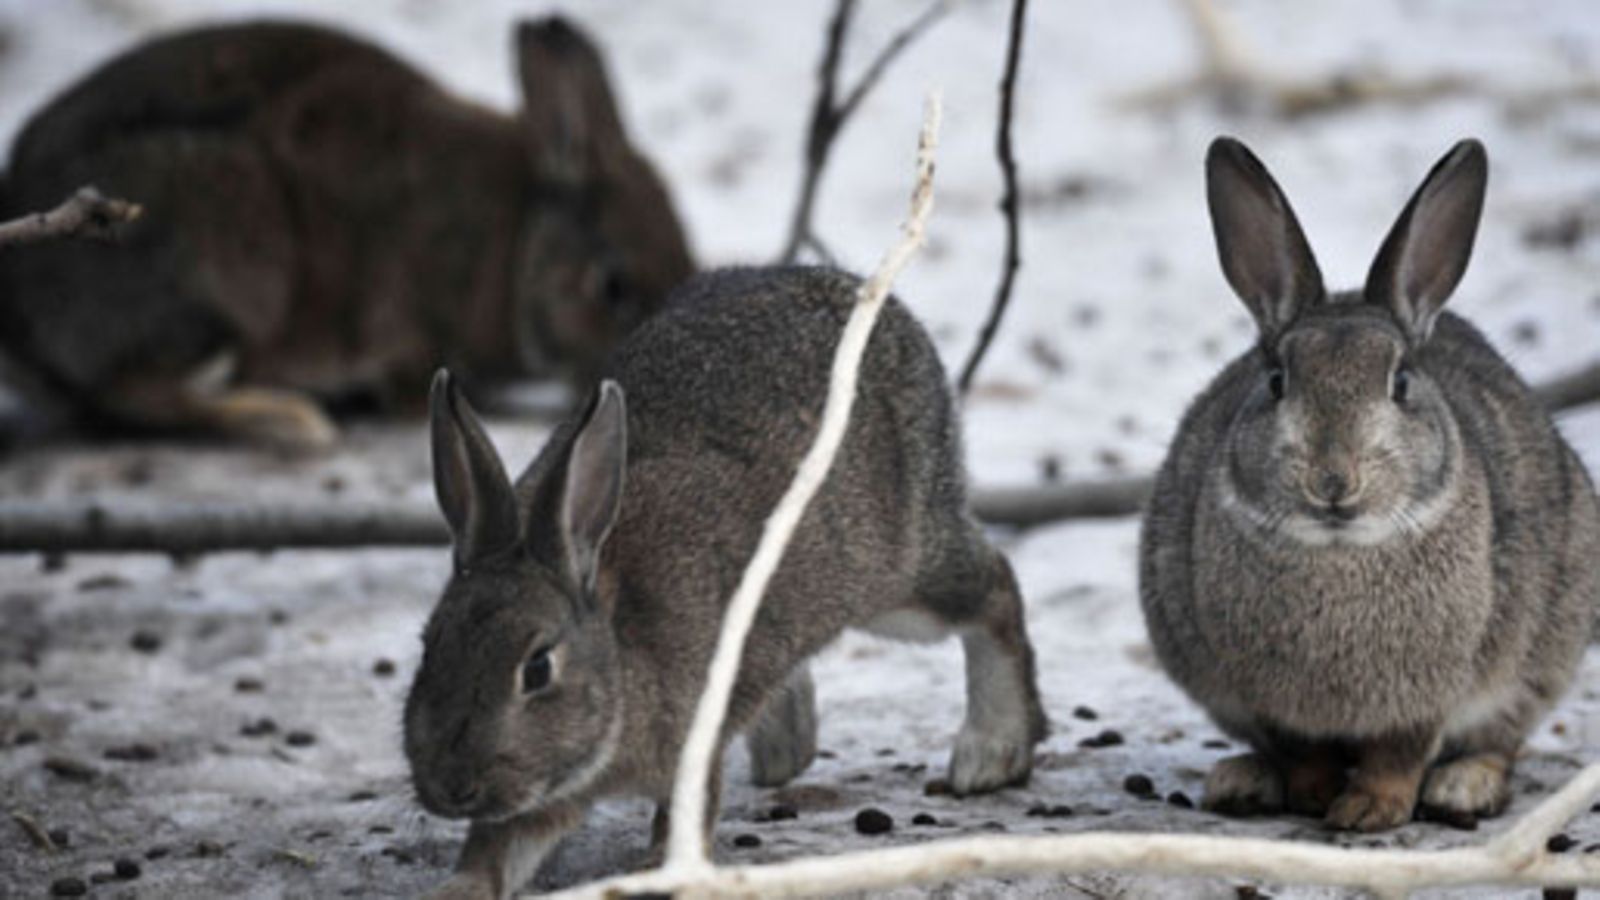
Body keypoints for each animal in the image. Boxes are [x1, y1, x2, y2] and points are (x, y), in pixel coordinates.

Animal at [0, 17, 694, 445]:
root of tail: (20, 328)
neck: (518, 243)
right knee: (142, 395)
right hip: (227, 265)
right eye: (613, 286)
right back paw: (286, 419)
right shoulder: (409, 329)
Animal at [406, 267, 1043, 896]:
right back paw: (785, 754)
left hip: (900, 579)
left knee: (995, 589)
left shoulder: (695, 732)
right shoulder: (544, 789)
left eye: (537, 668)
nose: (451, 788)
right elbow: (498, 848)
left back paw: (990, 753)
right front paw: (460, 889)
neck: (619, 656)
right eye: (430, 646)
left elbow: (686, 810)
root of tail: (871, 297)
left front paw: (660, 869)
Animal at [1139, 136, 1600, 832]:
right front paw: (1314, 795)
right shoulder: (1275, 706)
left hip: (1545, 651)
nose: (1334, 481)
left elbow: (1399, 754)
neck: (1340, 549)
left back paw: (1464, 787)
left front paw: (1369, 810)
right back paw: (1242, 780)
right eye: (1276, 382)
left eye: (1401, 382)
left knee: (1503, 740)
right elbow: (1302, 750)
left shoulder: (1428, 697)